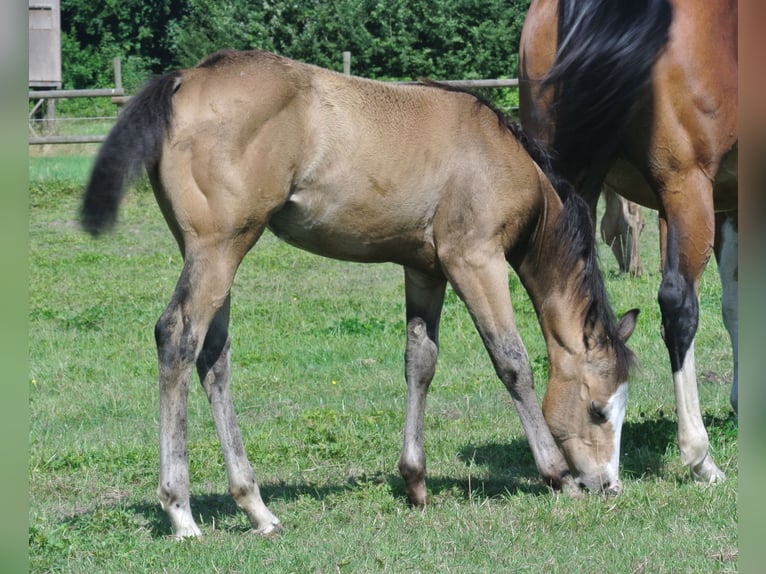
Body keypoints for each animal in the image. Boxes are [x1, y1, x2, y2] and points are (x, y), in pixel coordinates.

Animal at [81, 49, 640, 540]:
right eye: (597, 409)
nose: (608, 486)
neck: (500, 156)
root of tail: (185, 79)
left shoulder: (424, 270)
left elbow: (420, 362)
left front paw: (415, 483)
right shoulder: (475, 260)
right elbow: (512, 361)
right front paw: (557, 476)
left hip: (210, 253)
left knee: (213, 357)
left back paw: (256, 508)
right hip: (219, 248)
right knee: (177, 337)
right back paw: (181, 512)